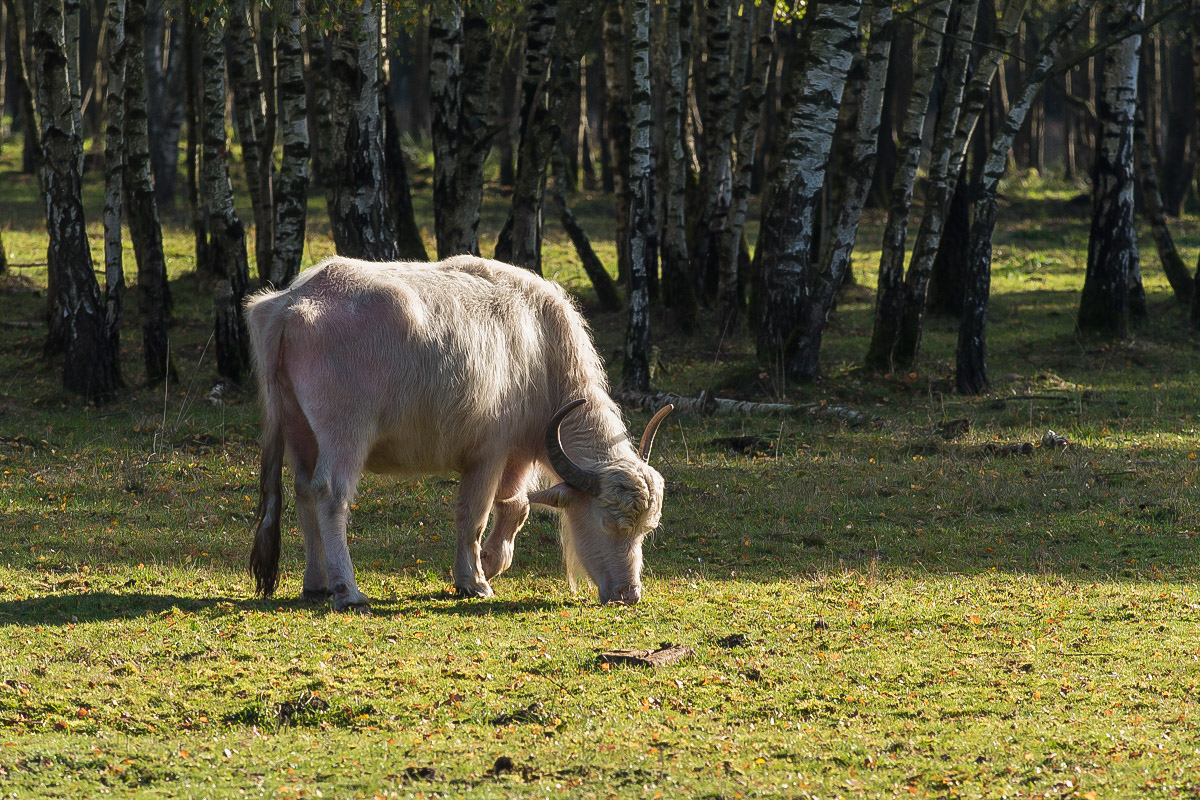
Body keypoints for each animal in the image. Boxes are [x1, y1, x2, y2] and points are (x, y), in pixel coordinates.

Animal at [245, 255, 673, 611]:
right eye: (609, 523)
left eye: (646, 530)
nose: (629, 594)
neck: (540, 349)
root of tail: (291, 304)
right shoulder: (488, 453)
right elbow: (474, 515)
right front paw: (474, 580)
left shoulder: (517, 453)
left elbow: (516, 506)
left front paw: (490, 562)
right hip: (345, 432)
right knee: (330, 494)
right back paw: (347, 590)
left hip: (299, 430)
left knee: (303, 492)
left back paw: (316, 584)